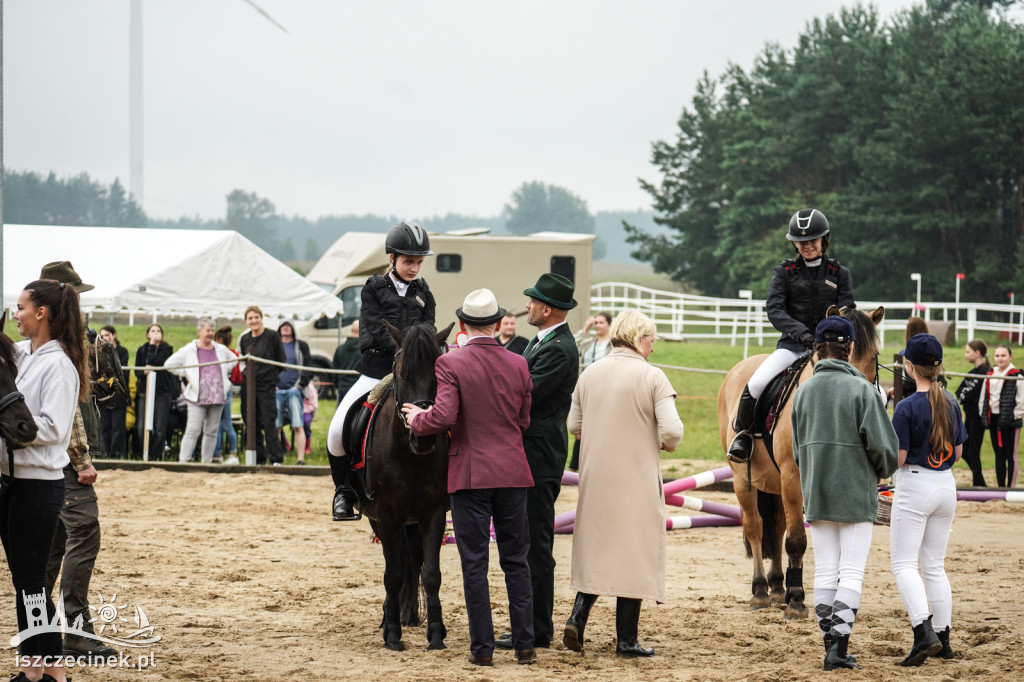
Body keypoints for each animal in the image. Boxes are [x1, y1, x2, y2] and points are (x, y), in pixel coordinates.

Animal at [356, 319, 456, 647]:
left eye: (440, 375)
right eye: (402, 373)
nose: (422, 437)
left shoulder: (433, 513)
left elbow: (431, 574)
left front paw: (435, 633)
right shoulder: (387, 515)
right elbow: (393, 574)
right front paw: (391, 633)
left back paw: (409, 613)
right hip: (379, 519)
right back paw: (392, 616)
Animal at [716, 303, 884, 614]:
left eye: (874, 355)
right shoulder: (794, 479)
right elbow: (796, 540)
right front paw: (796, 600)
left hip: (775, 484)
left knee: (777, 526)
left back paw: (776, 586)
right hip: (743, 480)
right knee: (756, 527)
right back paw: (760, 590)